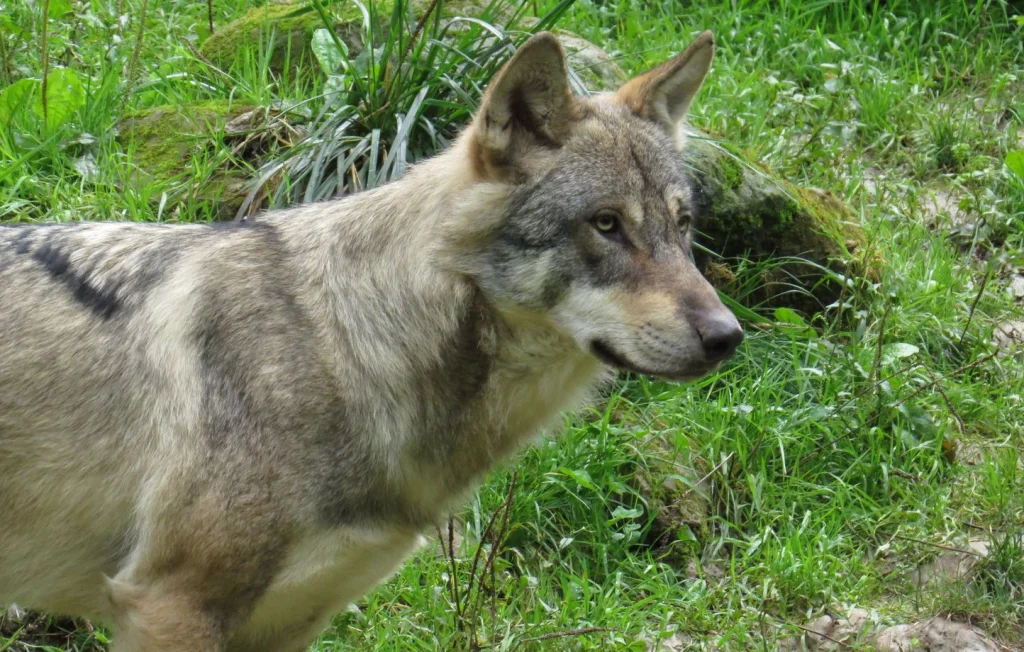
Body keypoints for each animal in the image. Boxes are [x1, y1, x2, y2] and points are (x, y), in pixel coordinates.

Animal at [0, 30, 741, 650]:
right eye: (606, 223)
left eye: (681, 225)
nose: (726, 336)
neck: (348, 349)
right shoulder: (171, 605)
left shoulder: (284, 626)